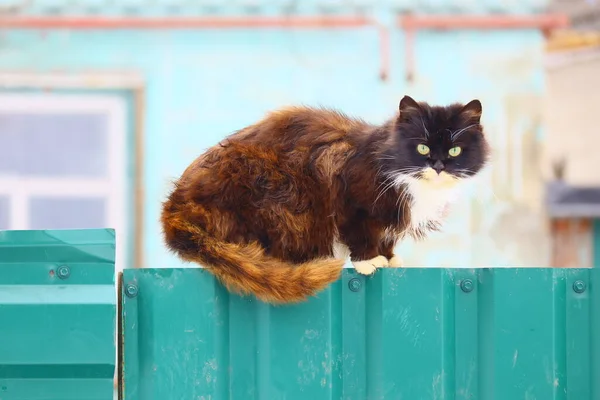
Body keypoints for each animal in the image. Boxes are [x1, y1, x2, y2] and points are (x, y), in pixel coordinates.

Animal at [162, 96, 490, 304]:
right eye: (422, 147)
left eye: (455, 150)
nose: (438, 165)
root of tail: (176, 206)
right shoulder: (348, 192)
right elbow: (360, 231)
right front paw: (369, 260)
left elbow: (386, 235)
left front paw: (389, 257)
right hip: (279, 188)